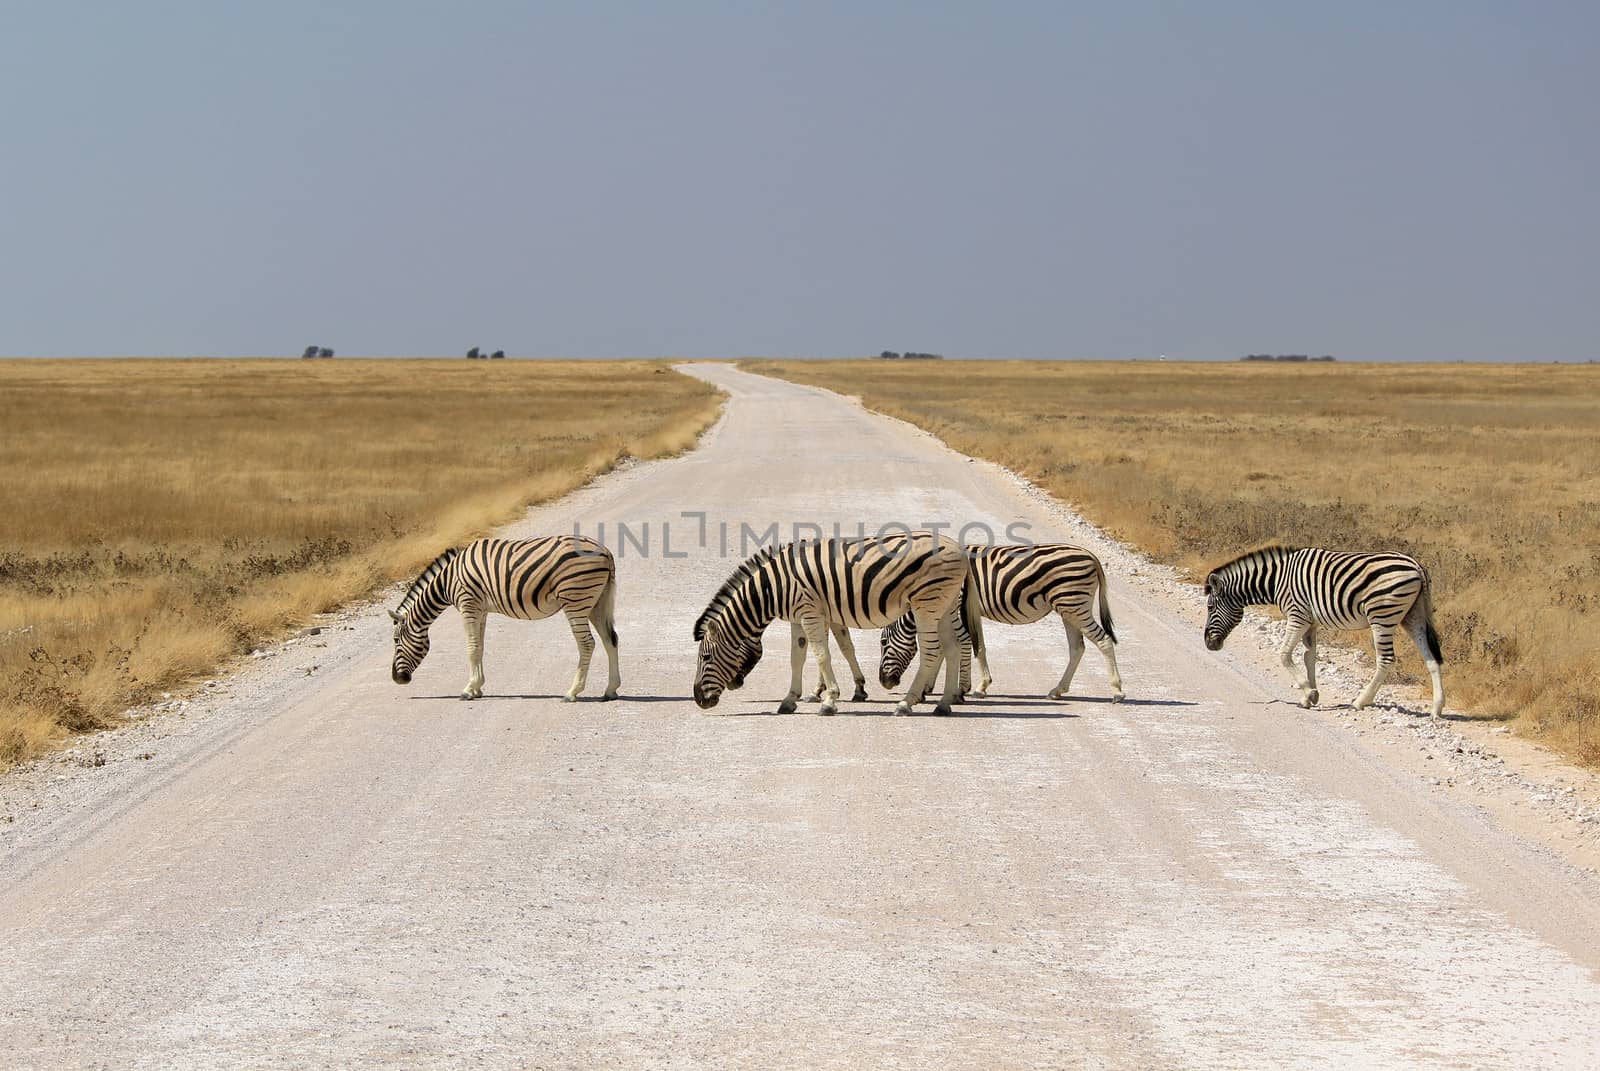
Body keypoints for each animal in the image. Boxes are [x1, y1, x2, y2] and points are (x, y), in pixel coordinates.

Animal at [387, 534, 617, 701]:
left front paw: (468, 690)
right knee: (611, 639)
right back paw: (610, 690)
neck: (448, 580)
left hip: (576, 599)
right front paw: (477, 688)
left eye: (396, 641)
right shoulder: (480, 610)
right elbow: (480, 647)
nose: (397, 679)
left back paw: (572, 692)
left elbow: (471, 649)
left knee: (587, 643)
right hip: (597, 602)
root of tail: (605, 551)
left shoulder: (468, 605)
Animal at [697, 531, 972, 714]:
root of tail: (958, 548)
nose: (699, 699)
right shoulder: (803, 617)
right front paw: (790, 699)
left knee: (932, 651)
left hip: (927, 604)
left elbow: (822, 655)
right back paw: (944, 704)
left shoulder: (810, 612)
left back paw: (906, 703)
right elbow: (799, 657)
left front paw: (829, 700)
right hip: (945, 606)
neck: (774, 587)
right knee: (953, 648)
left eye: (706, 658)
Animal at [876, 544, 1126, 701]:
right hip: (1069, 608)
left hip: (1074, 604)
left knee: (1103, 640)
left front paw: (967, 688)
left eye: (882, 643)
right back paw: (1057, 690)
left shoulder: (956, 607)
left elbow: (959, 646)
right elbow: (975, 647)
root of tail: (1090, 555)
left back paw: (1117, 691)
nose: (885, 683)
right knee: (1077, 648)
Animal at [1203, 544, 1452, 717]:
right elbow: (1309, 656)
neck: (1277, 580)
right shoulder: (1311, 621)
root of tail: (1416, 565)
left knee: (1386, 659)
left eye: (1210, 607)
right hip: (1413, 616)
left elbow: (1284, 655)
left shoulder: (1298, 615)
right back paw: (1437, 708)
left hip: (1382, 615)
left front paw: (1309, 692)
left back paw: (1360, 701)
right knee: (1431, 657)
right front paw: (1309, 697)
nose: (1208, 644)